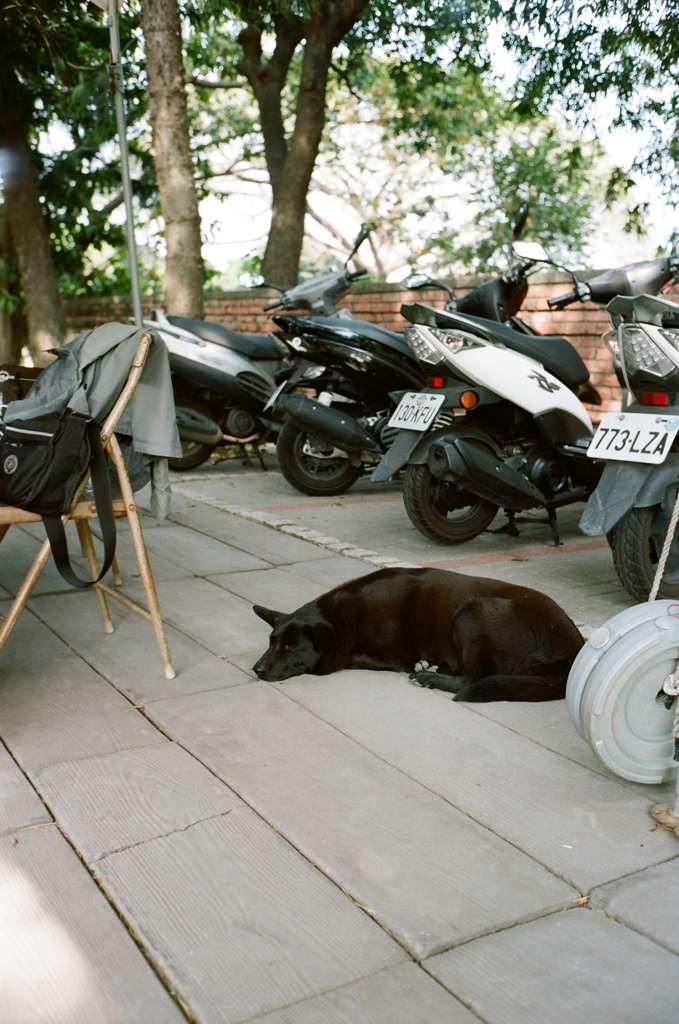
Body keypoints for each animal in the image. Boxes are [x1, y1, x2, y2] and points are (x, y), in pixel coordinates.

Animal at [251, 569, 581, 704]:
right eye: (271, 642)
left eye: (290, 647)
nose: (256, 669)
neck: (345, 614)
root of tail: (572, 650)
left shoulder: (392, 656)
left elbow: (349, 657)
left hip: (472, 610)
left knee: (472, 678)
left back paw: (429, 677)